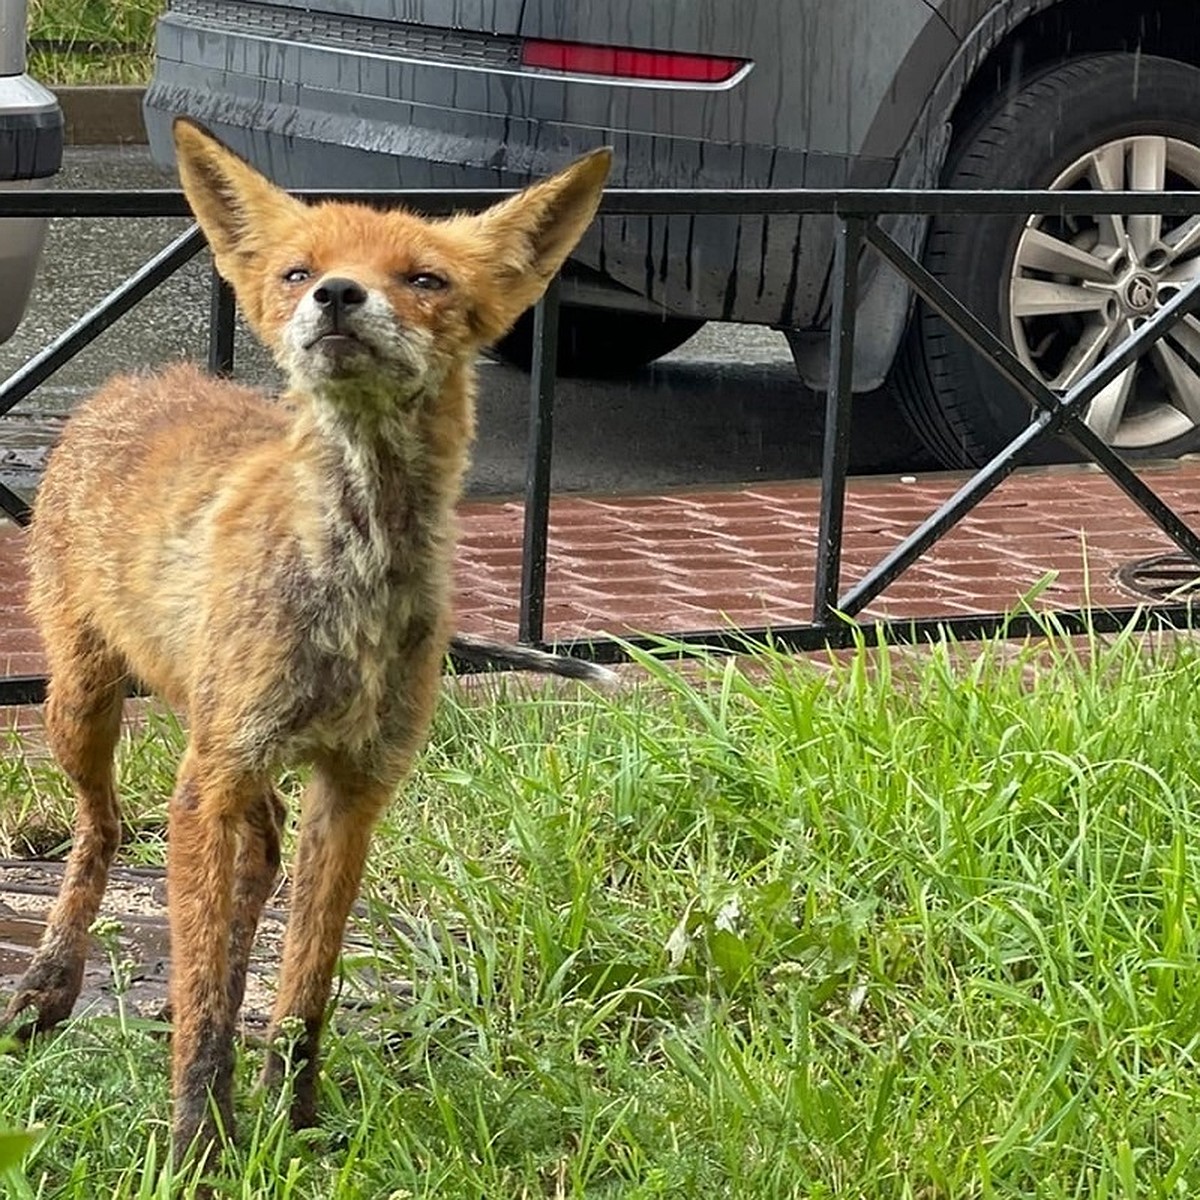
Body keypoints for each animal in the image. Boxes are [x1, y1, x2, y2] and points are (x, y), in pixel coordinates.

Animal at [4, 119, 609, 1161]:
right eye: (298, 271)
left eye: (424, 278)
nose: (337, 296)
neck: (352, 575)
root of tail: (132, 380)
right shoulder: (213, 774)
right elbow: (209, 1007)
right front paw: (198, 1149)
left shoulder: (357, 782)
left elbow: (306, 988)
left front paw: (294, 1122)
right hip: (90, 707)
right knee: (104, 829)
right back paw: (49, 985)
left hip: (226, 752)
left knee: (257, 860)